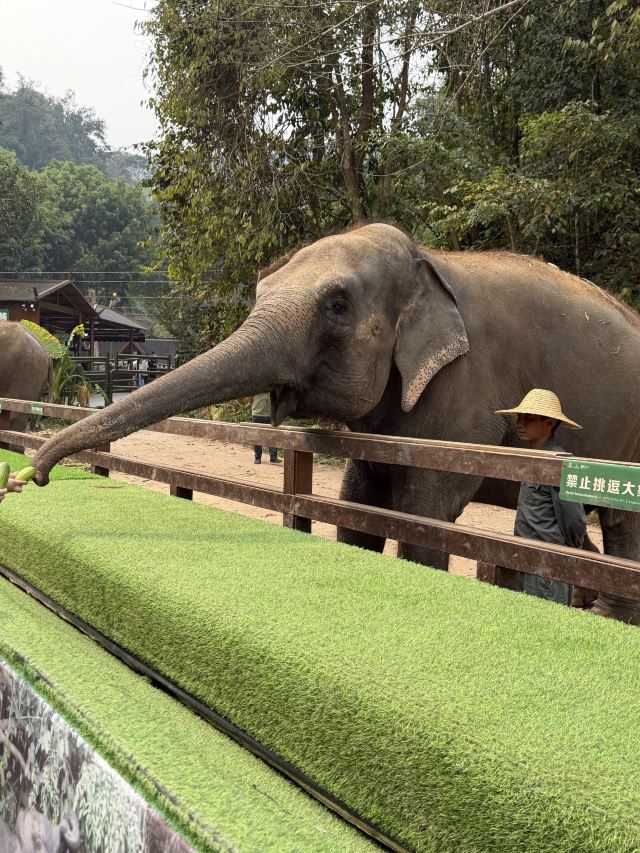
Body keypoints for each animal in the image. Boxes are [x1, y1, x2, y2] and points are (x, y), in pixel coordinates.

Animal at [30, 223, 640, 624]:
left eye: (338, 305)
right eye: (260, 292)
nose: (34, 473)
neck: (430, 261)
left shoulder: (466, 394)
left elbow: (425, 518)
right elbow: (358, 504)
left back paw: (607, 615)